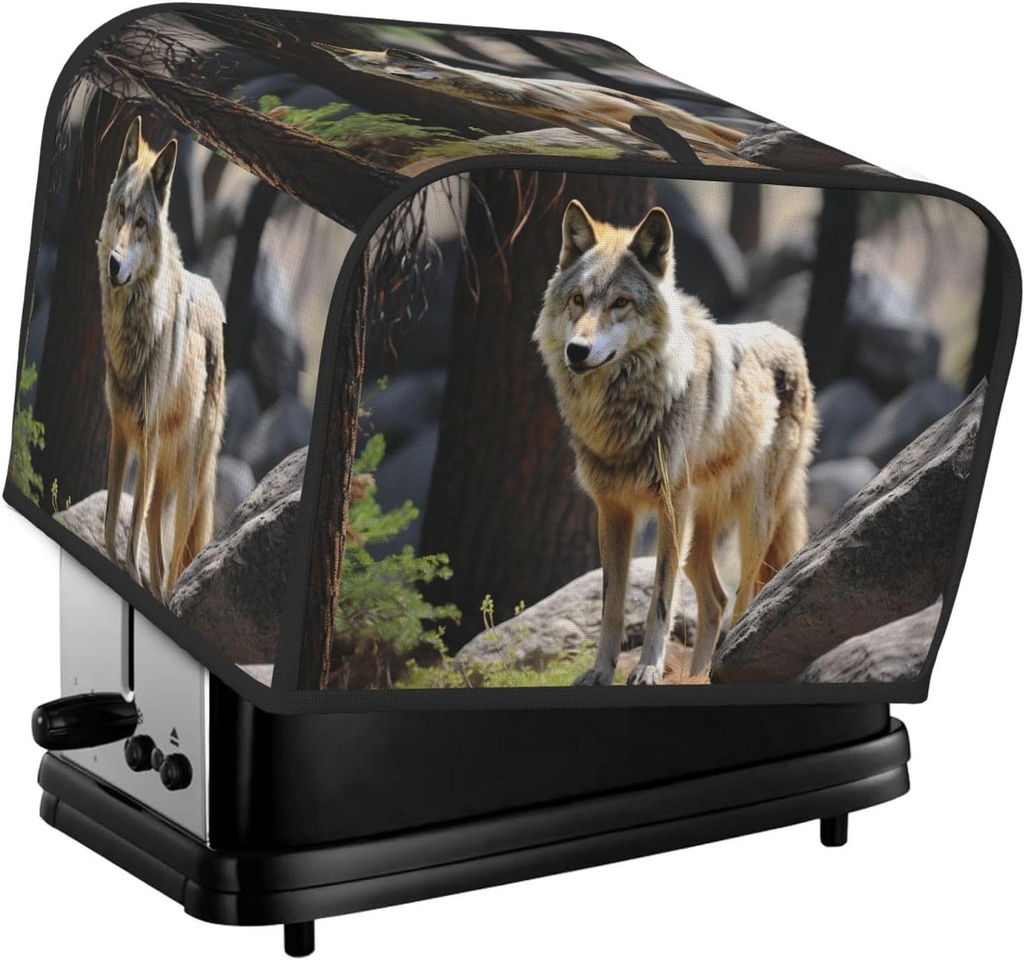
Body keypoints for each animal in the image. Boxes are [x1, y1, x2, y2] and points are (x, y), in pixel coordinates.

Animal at [97, 117, 226, 601]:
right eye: (120, 211)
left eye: (141, 222)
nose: (114, 264)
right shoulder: (120, 432)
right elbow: (113, 524)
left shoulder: (146, 440)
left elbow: (130, 530)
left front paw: (131, 574)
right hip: (163, 471)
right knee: (153, 525)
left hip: (186, 482)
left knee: (171, 559)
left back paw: (168, 594)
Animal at [534, 200, 817, 684]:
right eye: (578, 300)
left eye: (620, 303)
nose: (576, 351)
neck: (624, 415)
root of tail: (791, 339)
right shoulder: (612, 511)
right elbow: (611, 605)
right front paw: (600, 672)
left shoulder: (669, 507)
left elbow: (660, 601)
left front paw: (647, 669)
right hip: (698, 534)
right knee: (716, 600)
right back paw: (700, 673)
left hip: (751, 522)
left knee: (744, 597)